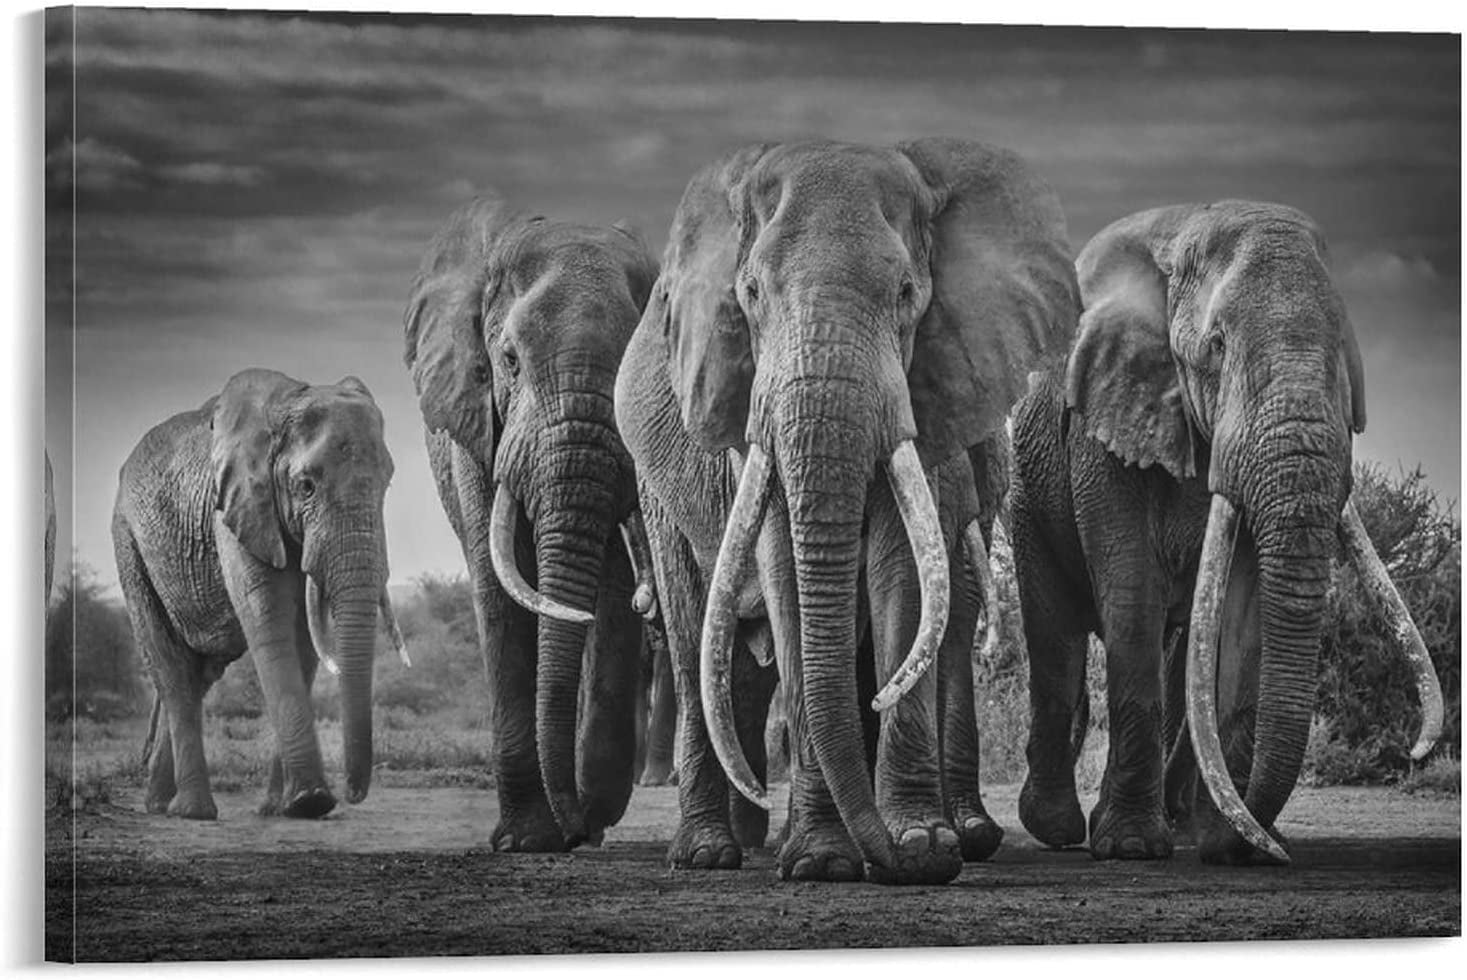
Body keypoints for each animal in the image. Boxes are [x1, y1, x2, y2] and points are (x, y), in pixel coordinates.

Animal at [113, 368, 408, 820]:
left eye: (387, 483)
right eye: (306, 486)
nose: (352, 793)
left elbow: (304, 636)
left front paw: (283, 807)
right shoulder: (236, 507)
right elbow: (268, 617)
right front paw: (310, 801)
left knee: (198, 675)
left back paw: (161, 805)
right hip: (129, 543)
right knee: (172, 670)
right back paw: (193, 811)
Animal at [403, 194, 659, 851]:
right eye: (510, 361)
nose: (575, 830)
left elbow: (614, 591)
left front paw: (586, 817)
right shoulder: (475, 419)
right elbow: (496, 584)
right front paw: (527, 840)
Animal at [614, 139, 1079, 884]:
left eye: (907, 294)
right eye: (749, 294)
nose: (910, 858)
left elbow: (903, 574)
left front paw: (921, 843)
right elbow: (784, 569)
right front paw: (824, 863)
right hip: (657, 487)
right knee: (692, 644)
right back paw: (707, 853)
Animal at [1009, 201, 1445, 865]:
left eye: (1347, 352)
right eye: (1215, 348)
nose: (1416, 752)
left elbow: (1242, 611)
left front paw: (1233, 848)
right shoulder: (1105, 422)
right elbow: (1131, 590)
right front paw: (1131, 847)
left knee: (1183, 645)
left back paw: (1186, 829)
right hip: (1028, 494)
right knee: (1055, 635)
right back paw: (1059, 829)